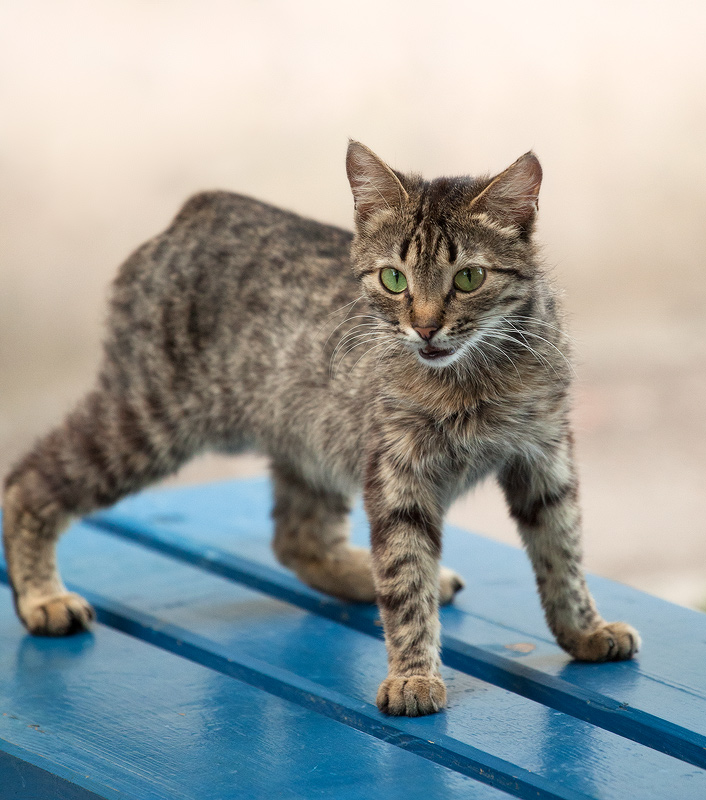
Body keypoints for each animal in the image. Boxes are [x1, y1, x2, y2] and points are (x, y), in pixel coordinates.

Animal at [1, 142, 640, 720]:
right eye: (393, 279)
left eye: (469, 278)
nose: (425, 327)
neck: (474, 376)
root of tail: (198, 209)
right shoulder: (398, 473)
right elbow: (405, 577)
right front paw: (413, 674)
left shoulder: (544, 455)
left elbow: (562, 551)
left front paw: (584, 629)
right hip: (146, 421)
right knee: (28, 480)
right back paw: (42, 598)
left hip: (312, 441)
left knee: (297, 537)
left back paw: (363, 576)